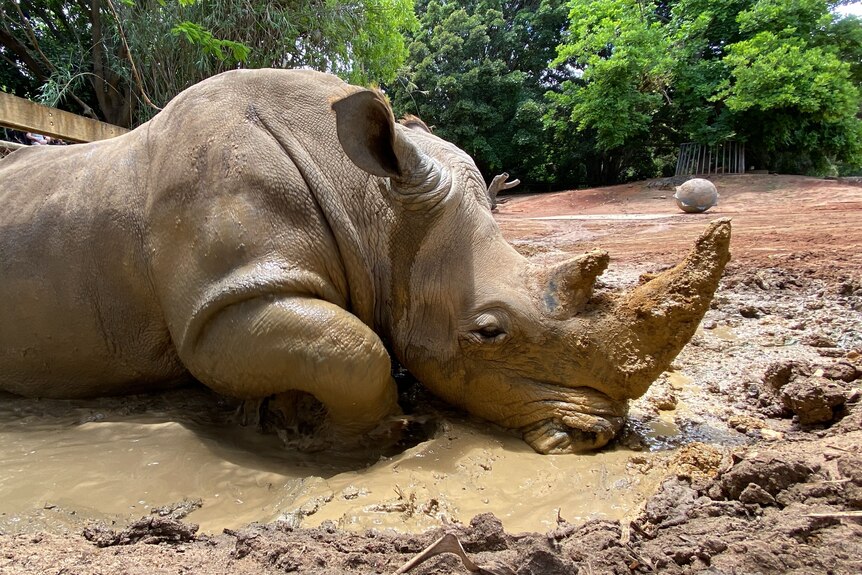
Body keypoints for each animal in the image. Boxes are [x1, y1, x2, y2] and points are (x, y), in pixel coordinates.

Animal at [0, 68, 728, 454]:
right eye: (488, 332)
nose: (598, 435)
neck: (374, 206)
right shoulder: (227, 298)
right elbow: (353, 347)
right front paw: (369, 433)